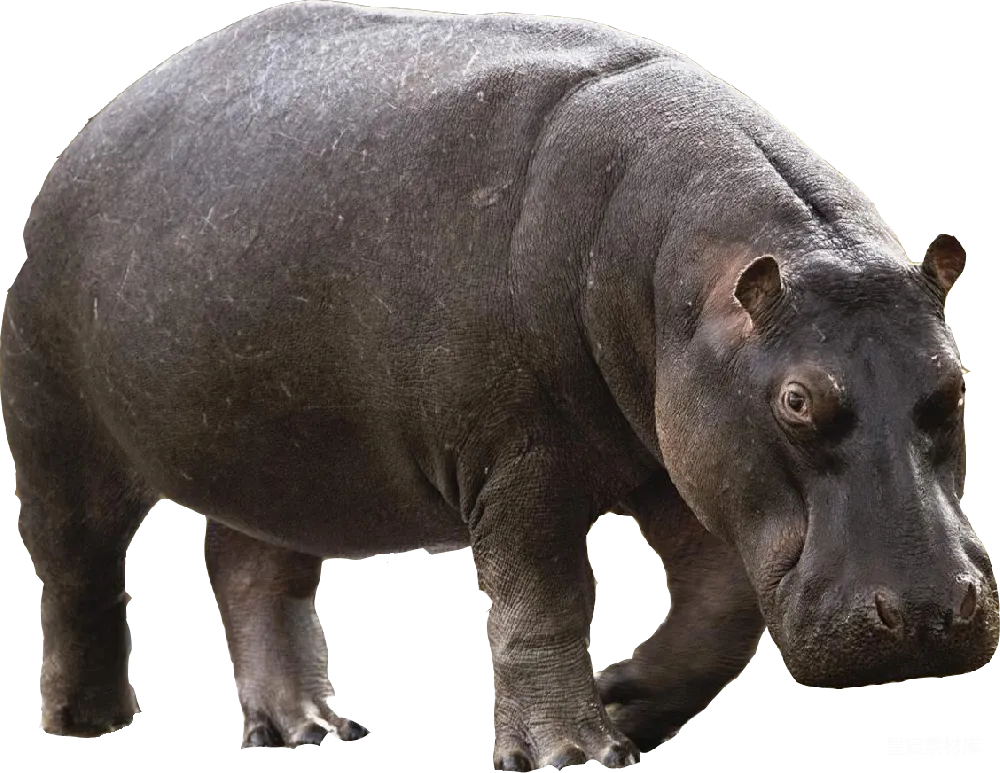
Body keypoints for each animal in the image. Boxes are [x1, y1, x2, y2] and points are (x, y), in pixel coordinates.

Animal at [4, 2, 995, 769]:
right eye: (797, 400)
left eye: (956, 382)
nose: (926, 611)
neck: (687, 275)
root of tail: (97, 121)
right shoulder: (519, 461)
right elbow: (544, 600)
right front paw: (573, 751)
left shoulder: (677, 455)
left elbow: (721, 605)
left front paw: (622, 700)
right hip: (58, 429)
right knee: (78, 571)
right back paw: (90, 722)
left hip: (277, 455)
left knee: (255, 572)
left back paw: (307, 729)